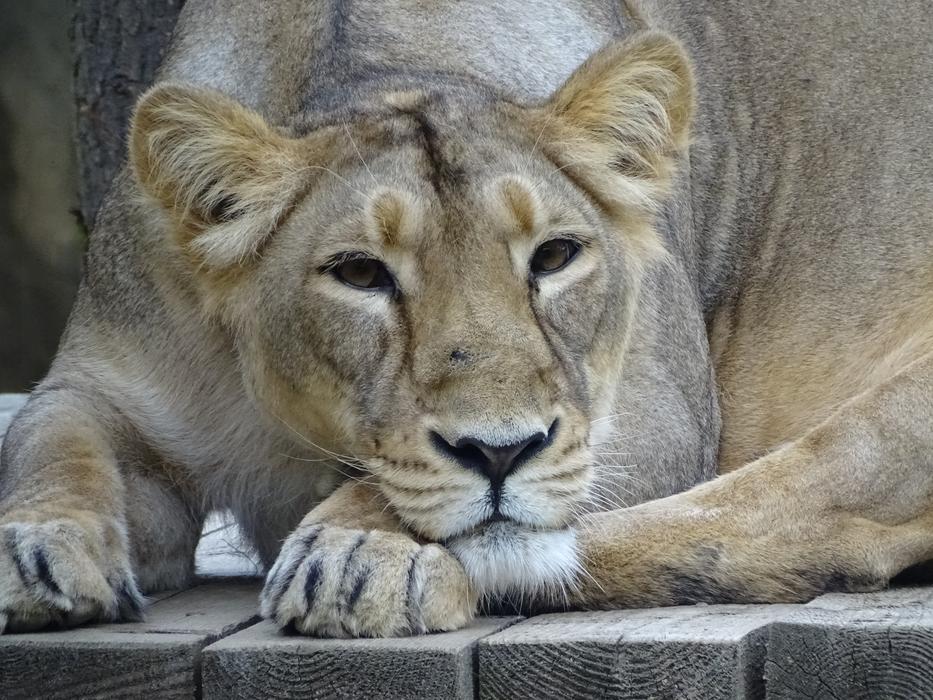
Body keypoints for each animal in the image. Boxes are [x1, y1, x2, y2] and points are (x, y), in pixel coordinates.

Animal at [2, 0, 932, 638]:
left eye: (554, 256)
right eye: (360, 273)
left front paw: (359, 550)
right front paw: (32, 558)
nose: (500, 453)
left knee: (761, 521)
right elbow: (48, 442)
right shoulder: (103, 376)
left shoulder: (658, 412)